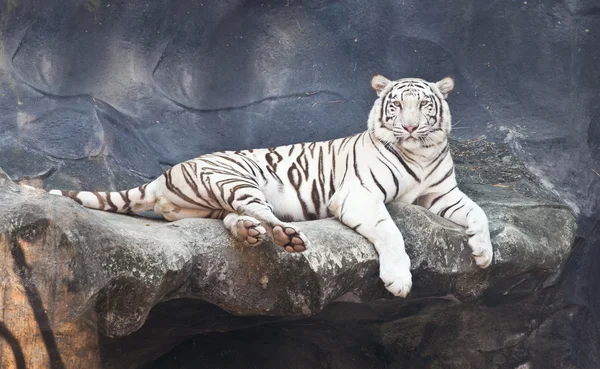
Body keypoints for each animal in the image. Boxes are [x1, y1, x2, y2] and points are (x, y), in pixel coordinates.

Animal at [47, 75, 492, 296]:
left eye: (424, 106)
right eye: (397, 106)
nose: (411, 128)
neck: (420, 154)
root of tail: (164, 174)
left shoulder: (444, 193)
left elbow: (479, 213)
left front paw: (484, 253)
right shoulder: (359, 195)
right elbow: (391, 230)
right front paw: (399, 280)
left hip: (214, 201)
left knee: (236, 217)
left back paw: (250, 232)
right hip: (236, 178)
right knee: (263, 213)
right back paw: (287, 237)